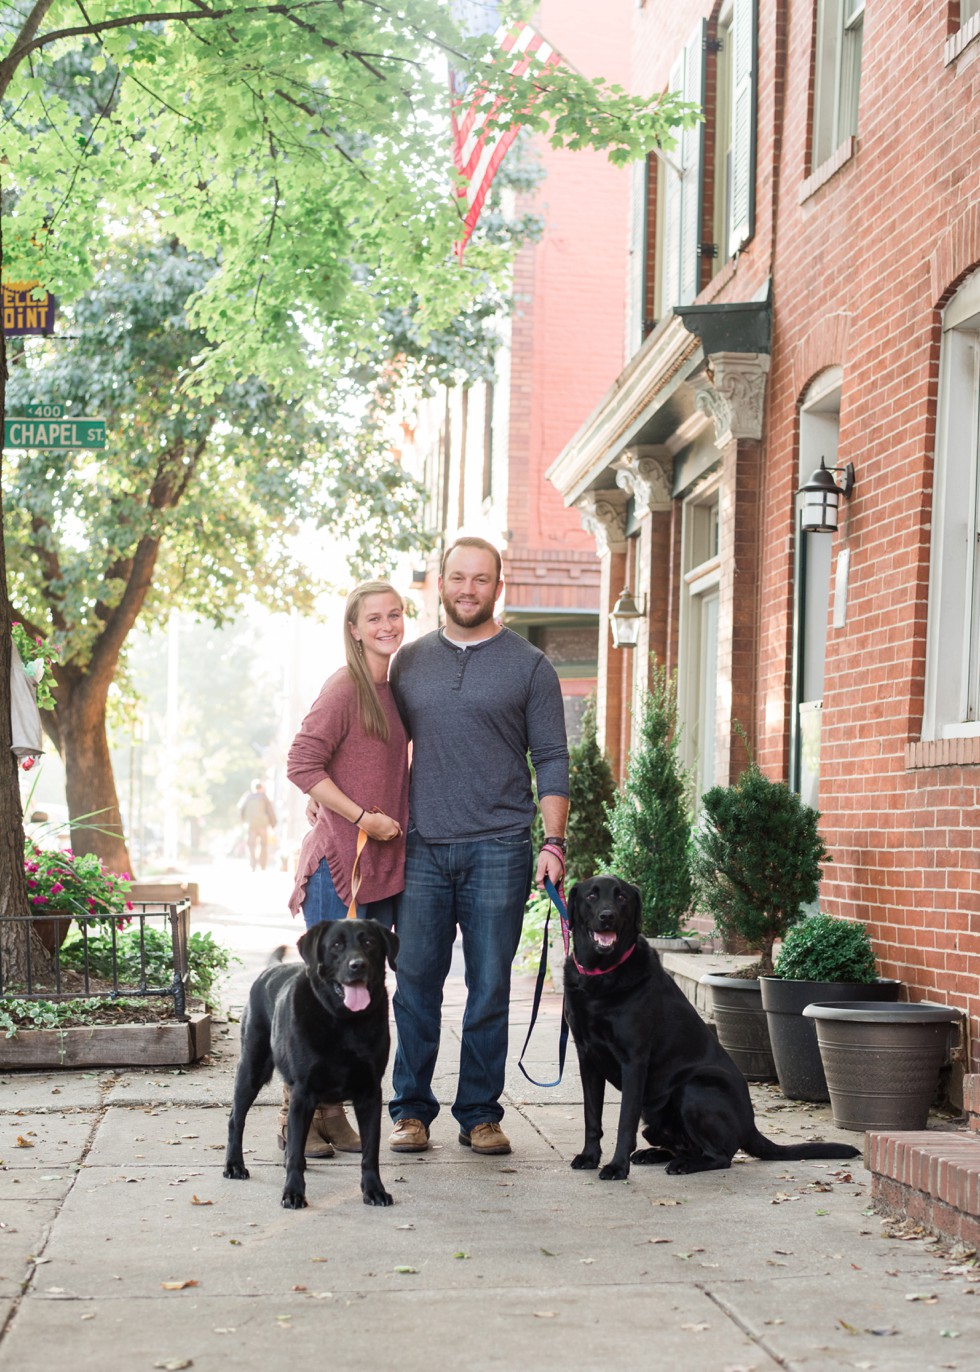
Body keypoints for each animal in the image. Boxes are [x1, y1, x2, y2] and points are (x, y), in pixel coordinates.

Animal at [222, 921, 398, 1212]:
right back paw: (234, 1165)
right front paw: (293, 1193)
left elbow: (370, 1150)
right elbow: (294, 1150)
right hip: (252, 1068)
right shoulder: (302, 1092)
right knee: (236, 1118)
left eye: (370, 943)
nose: (358, 965)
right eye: (336, 945)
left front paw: (374, 1190)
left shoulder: (371, 1093)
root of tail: (270, 968)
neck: (343, 1021)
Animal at [560, 878, 856, 1179]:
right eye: (592, 896)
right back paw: (654, 1154)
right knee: (687, 1145)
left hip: (694, 1088)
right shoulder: (587, 1057)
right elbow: (591, 1115)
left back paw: (684, 1164)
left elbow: (625, 1121)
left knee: (721, 1156)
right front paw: (590, 1156)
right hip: (657, 1118)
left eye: (621, 897)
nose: (607, 916)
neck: (602, 975)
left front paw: (618, 1166)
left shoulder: (633, 1060)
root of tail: (750, 1126)